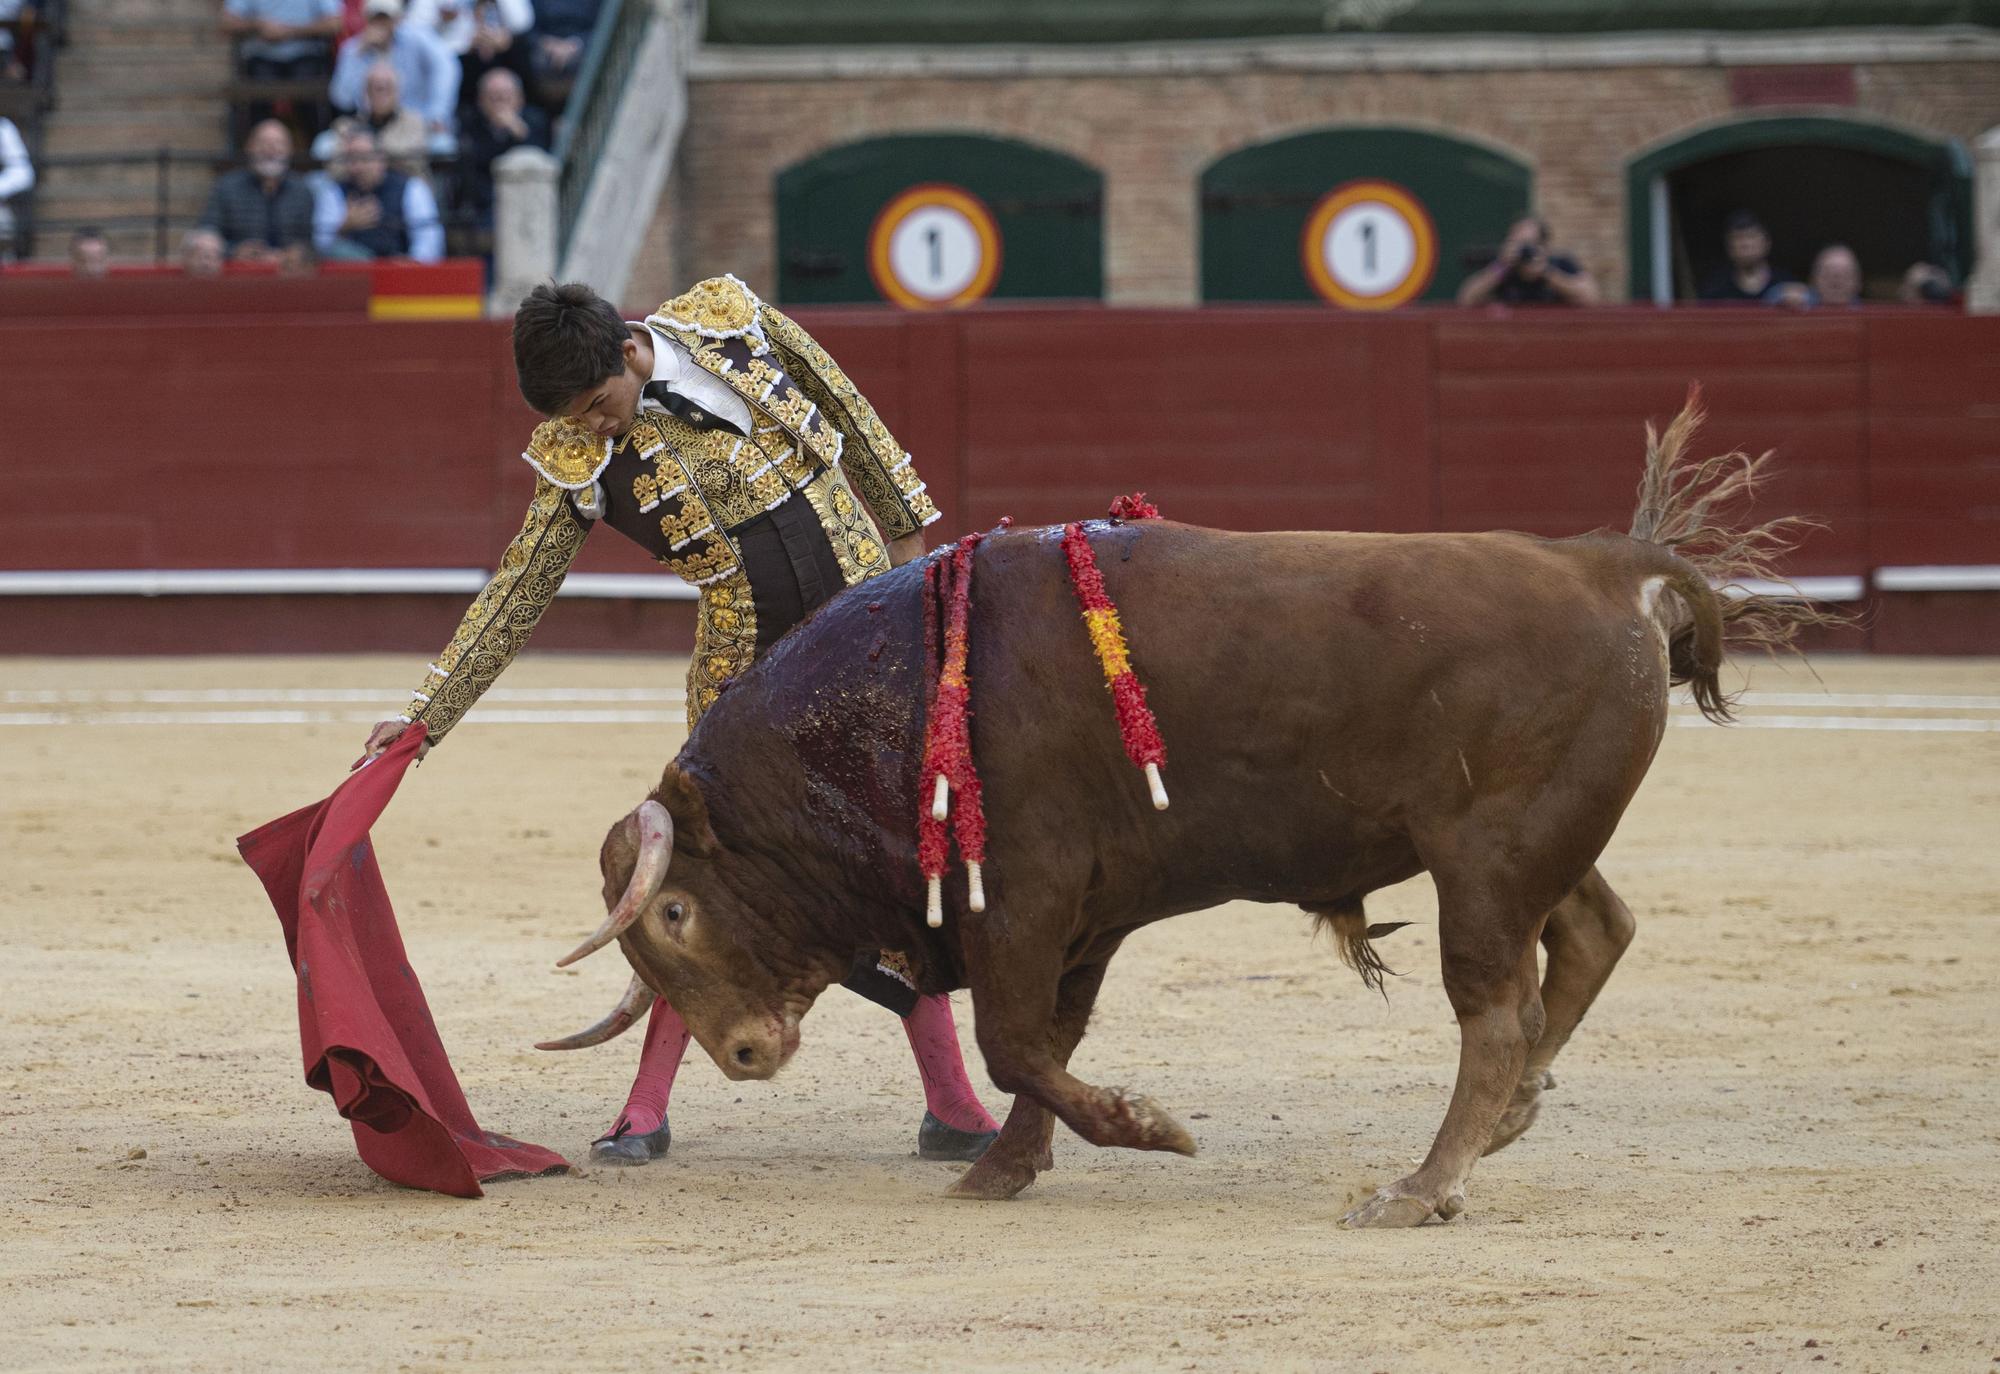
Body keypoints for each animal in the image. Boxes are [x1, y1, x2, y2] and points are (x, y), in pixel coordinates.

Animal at [540, 398, 1824, 1224]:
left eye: (673, 917)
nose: (744, 1054)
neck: (895, 703)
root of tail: (1608, 566)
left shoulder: (1023, 897)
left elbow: (1015, 1042)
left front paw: (1147, 1127)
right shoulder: (1086, 913)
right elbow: (1044, 1043)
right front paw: (1002, 1171)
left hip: (1485, 862)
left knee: (1495, 1013)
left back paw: (1419, 1188)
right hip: (1529, 849)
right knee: (1596, 935)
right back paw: (1505, 1124)